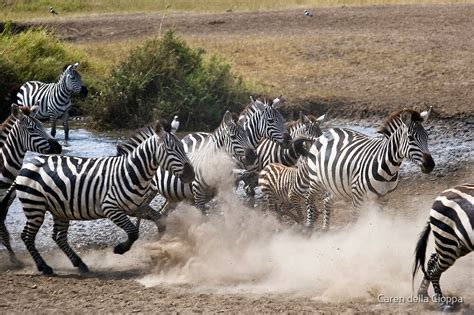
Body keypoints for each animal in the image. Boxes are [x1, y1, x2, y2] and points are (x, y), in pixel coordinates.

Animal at [0, 104, 62, 266]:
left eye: (43, 126)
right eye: (31, 129)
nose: (59, 147)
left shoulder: (6, 201)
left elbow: (3, 230)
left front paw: (13, 258)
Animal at [12, 119, 194, 276]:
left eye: (182, 147)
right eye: (170, 149)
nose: (190, 174)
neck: (130, 171)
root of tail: (30, 163)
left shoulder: (137, 208)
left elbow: (160, 221)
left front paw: (158, 243)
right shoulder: (110, 207)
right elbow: (133, 231)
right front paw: (120, 249)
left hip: (59, 210)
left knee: (58, 237)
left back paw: (80, 264)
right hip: (34, 206)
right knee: (27, 236)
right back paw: (44, 267)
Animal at [412, 184, 472, 312]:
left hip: (460, 243)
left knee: (432, 260)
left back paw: (422, 293)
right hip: (448, 242)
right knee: (435, 271)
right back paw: (443, 304)